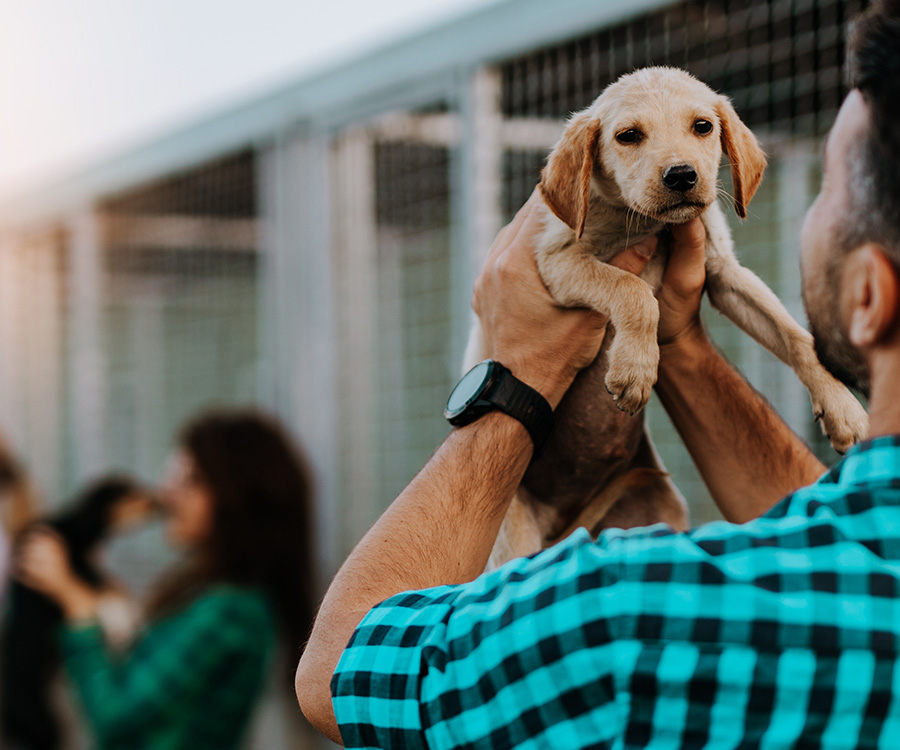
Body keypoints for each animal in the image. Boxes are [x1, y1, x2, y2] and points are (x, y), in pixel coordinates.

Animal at [472, 67, 872, 568]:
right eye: (627, 136)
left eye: (702, 127)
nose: (682, 175)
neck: (649, 225)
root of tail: (562, 525)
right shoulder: (557, 261)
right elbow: (635, 291)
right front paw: (635, 367)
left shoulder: (724, 272)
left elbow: (795, 335)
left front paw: (841, 406)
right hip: (513, 538)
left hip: (656, 507)